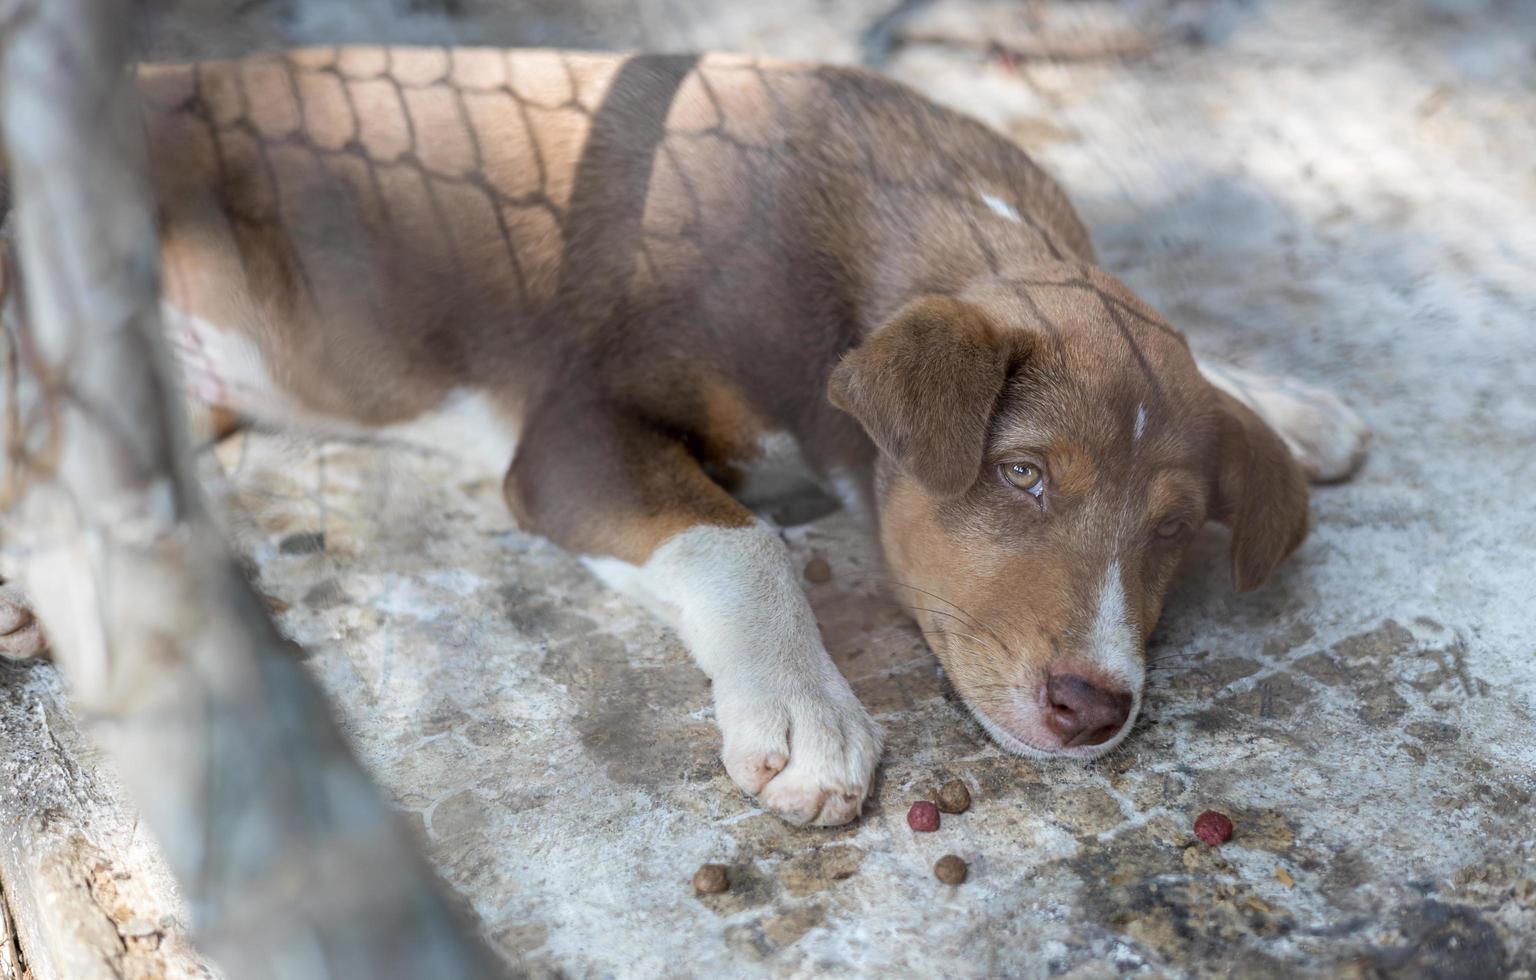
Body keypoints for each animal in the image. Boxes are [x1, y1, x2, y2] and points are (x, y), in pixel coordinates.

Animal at [0, 48, 1370, 829]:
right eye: (1022, 474)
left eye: (1176, 531)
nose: (1094, 705)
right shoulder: (571, 432)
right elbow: (741, 541)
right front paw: (806, 711)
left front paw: (1283, 402)